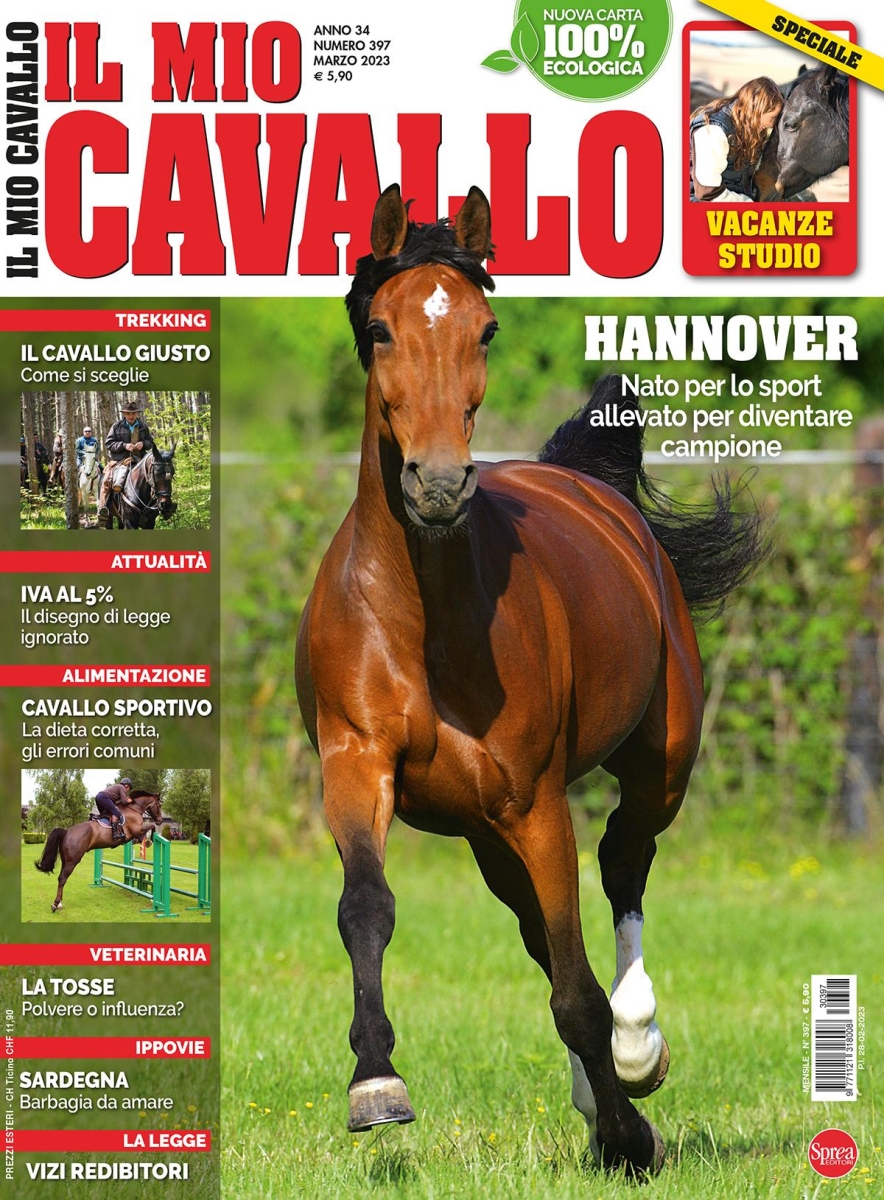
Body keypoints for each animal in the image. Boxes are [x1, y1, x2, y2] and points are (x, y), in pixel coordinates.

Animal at [34, 791, 163, 913]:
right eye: (159, 805)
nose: (160, 820)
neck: (133, 809)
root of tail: (66, 832)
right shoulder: (137, 830)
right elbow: (150, 827)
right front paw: (150, 841)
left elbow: (143, 834)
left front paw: (146, 841)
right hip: (72, 861)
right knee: (62, 878)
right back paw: (55, 904)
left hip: (65, 861)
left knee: (61, 878)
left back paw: (60, 903)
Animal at [294, 185, 767, 1176]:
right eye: (383, 329)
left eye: (486, 327)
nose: (438, 486)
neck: (425, 619)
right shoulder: (356, 765)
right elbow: (367, 908)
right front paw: (375, 1084)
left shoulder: (535, 800)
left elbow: (579, 985)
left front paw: (629, 1135)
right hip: (483, 834)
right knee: (540, 932)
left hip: (658, 763)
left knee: (621, 866)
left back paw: (636, 1050)